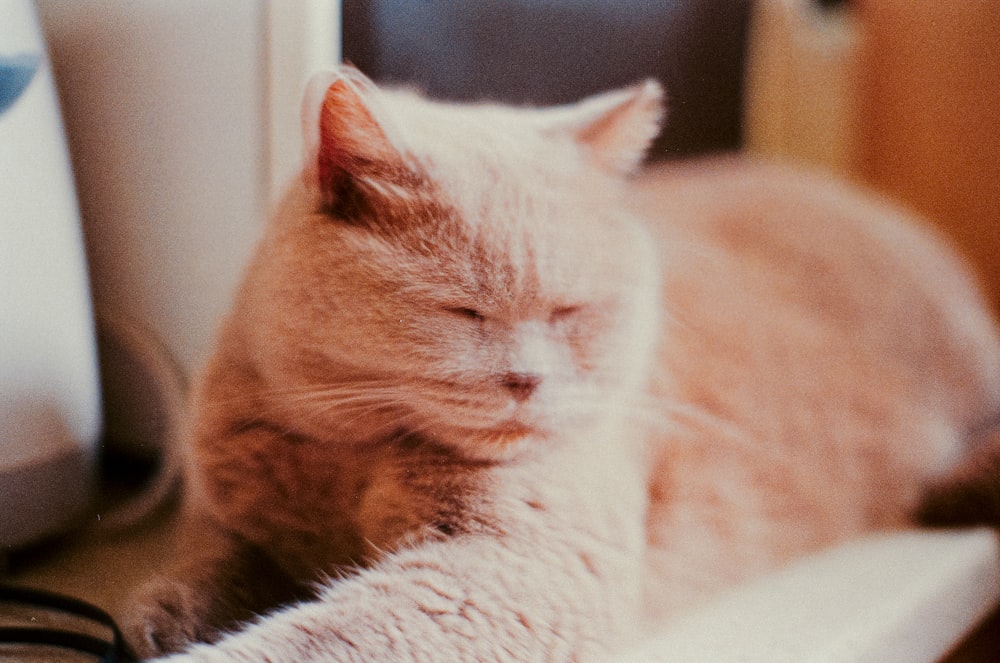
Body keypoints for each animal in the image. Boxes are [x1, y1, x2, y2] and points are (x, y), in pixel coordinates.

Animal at [123, 68, 1000, 663]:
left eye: (572, 313)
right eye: (464, 312)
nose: (527, 380)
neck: (350, 456)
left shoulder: (516, 567)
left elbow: (322, 637)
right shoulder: (229, 511)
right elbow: (207, 557)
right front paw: (160, 616)